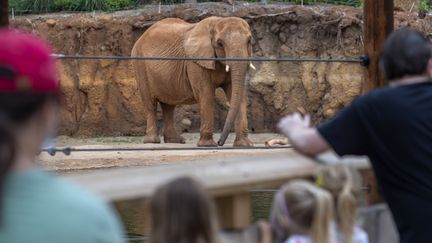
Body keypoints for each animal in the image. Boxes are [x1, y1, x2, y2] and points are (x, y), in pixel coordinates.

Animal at [132, 17, 253, 147]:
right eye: (220, 44)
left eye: (249, 41)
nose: (220, 142)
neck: (217, 21)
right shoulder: (196, 63)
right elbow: (206, 95)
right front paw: (207, 145)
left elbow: (237, 95)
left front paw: (244, 145)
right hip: (140, 64)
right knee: (150, 103)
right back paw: (152, 141)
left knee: (168, 105)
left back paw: (175, 141)